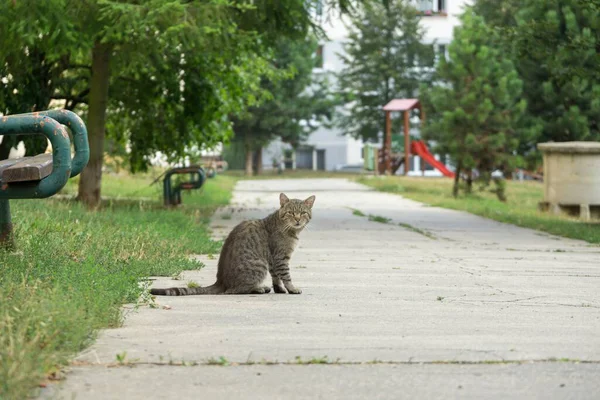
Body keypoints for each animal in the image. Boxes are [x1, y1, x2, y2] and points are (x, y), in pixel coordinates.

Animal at [149, 192, 314, 296]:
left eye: (303, 213)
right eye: (291, 212)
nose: (297, 219)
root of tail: (221, 281)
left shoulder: (273, 260)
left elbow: (276, 277)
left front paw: (279, 289)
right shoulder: (280, 257)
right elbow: (286, 276)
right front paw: (292, 289)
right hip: (259, 265)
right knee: (235, 290)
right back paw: (258, 288)